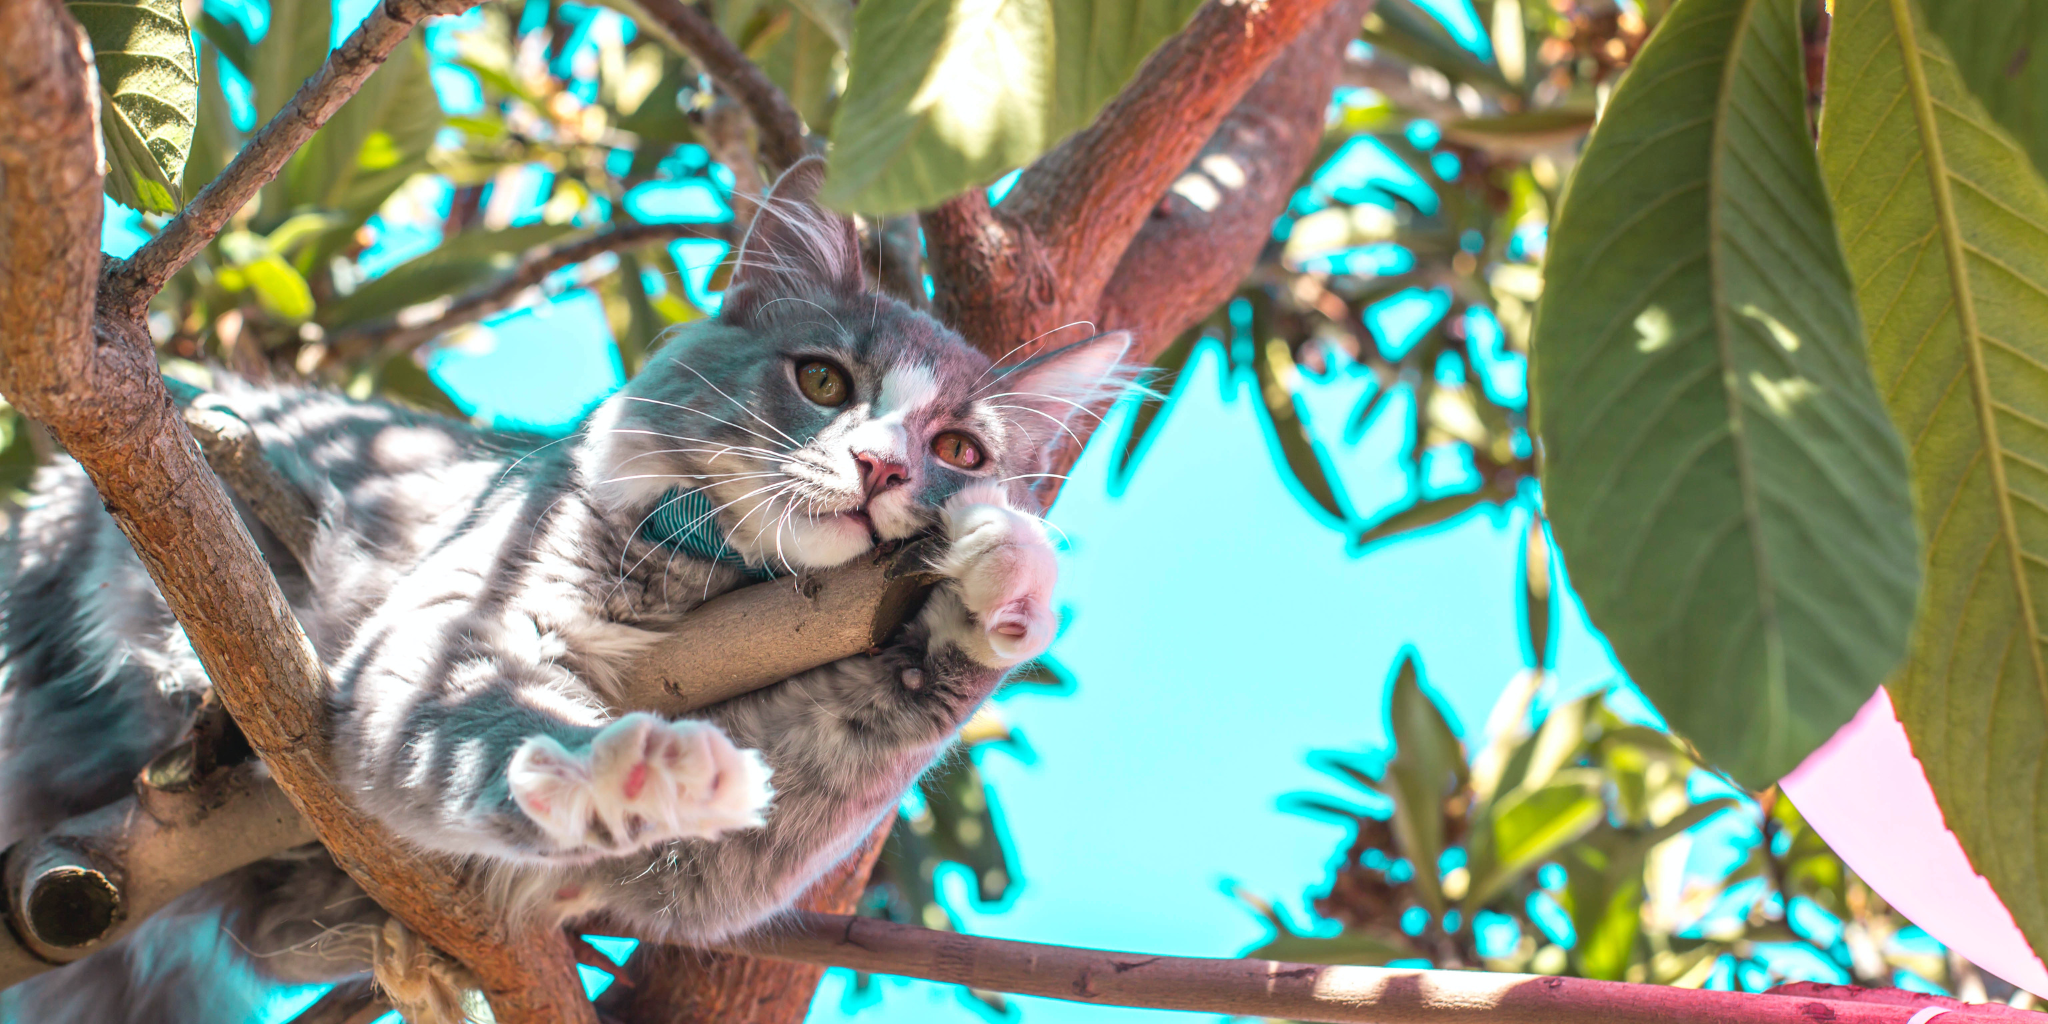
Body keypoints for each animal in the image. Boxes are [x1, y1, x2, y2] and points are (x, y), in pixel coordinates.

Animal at [0, 155, 1122, 1019]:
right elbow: (508, 725)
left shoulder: (731, 851)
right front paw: (641, 768)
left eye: (959, 451)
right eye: (823, 382)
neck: (711, 585)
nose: (881, 468)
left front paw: (998, 581)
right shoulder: (457, 624)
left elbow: (893, 713)